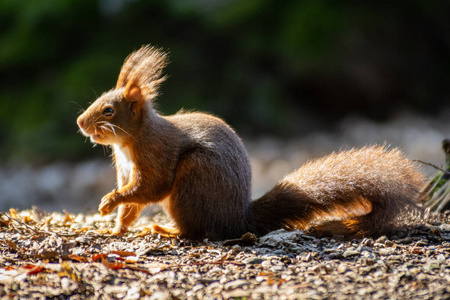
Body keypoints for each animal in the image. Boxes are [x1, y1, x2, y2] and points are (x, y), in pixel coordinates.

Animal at [76, 45, 426, 239]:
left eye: (108, 110)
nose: (80, 123)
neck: (130, 141)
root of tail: (239, 220)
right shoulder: (125, 168)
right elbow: (132, 205)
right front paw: (117, 228)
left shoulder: (155, 156)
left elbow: (149, 189)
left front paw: (107, 202)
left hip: (194, 178)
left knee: (198, 231)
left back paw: (169, 230)